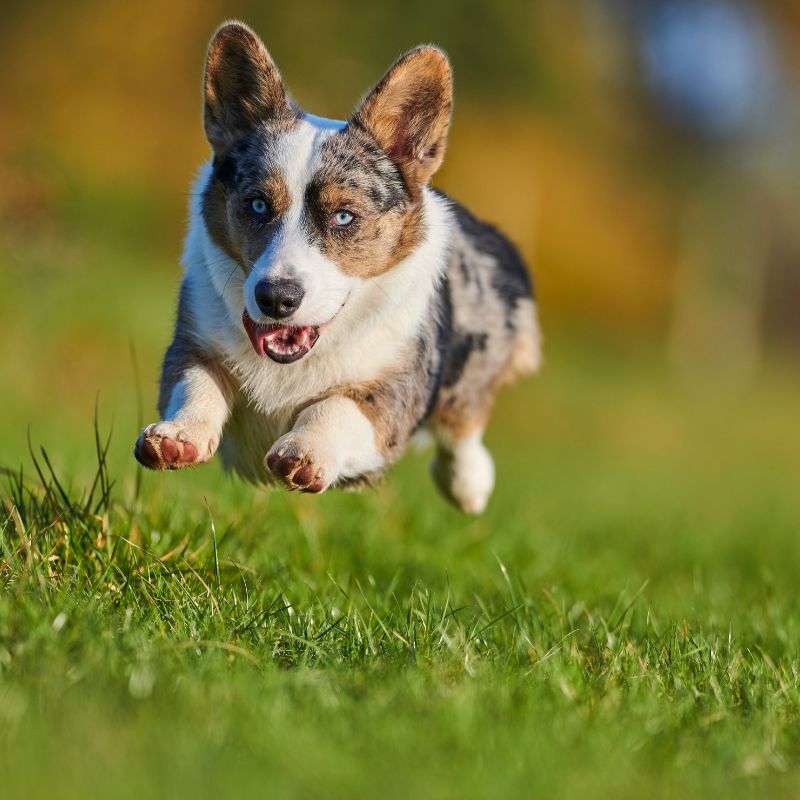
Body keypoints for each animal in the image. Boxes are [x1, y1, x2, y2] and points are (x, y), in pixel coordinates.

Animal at [134, 23, 540, 520]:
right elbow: (197, 386)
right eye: (257, 204)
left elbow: (335, 408)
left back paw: (468, 484)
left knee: (463, 424)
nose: (276, 298)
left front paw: (305, 452)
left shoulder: (390, 396)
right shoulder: (193, 345)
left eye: (343, 217)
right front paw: (176, 437)